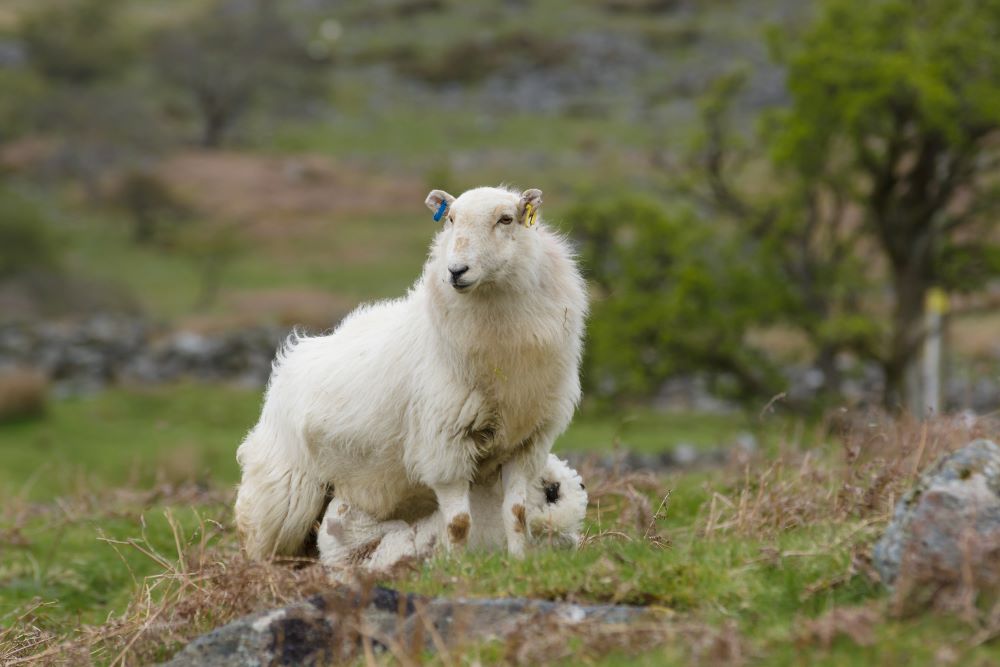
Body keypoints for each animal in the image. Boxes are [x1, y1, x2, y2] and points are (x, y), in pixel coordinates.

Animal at [233, 185, 584, 560]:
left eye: (506, 219)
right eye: (450, 219)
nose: (456, 271)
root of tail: (295, 351)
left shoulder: (525, 444)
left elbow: (517, 512)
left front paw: (518, 559)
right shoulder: (444, 445)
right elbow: (459, 522)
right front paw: (457, 564)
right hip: (285, 490)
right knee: (263, 541)